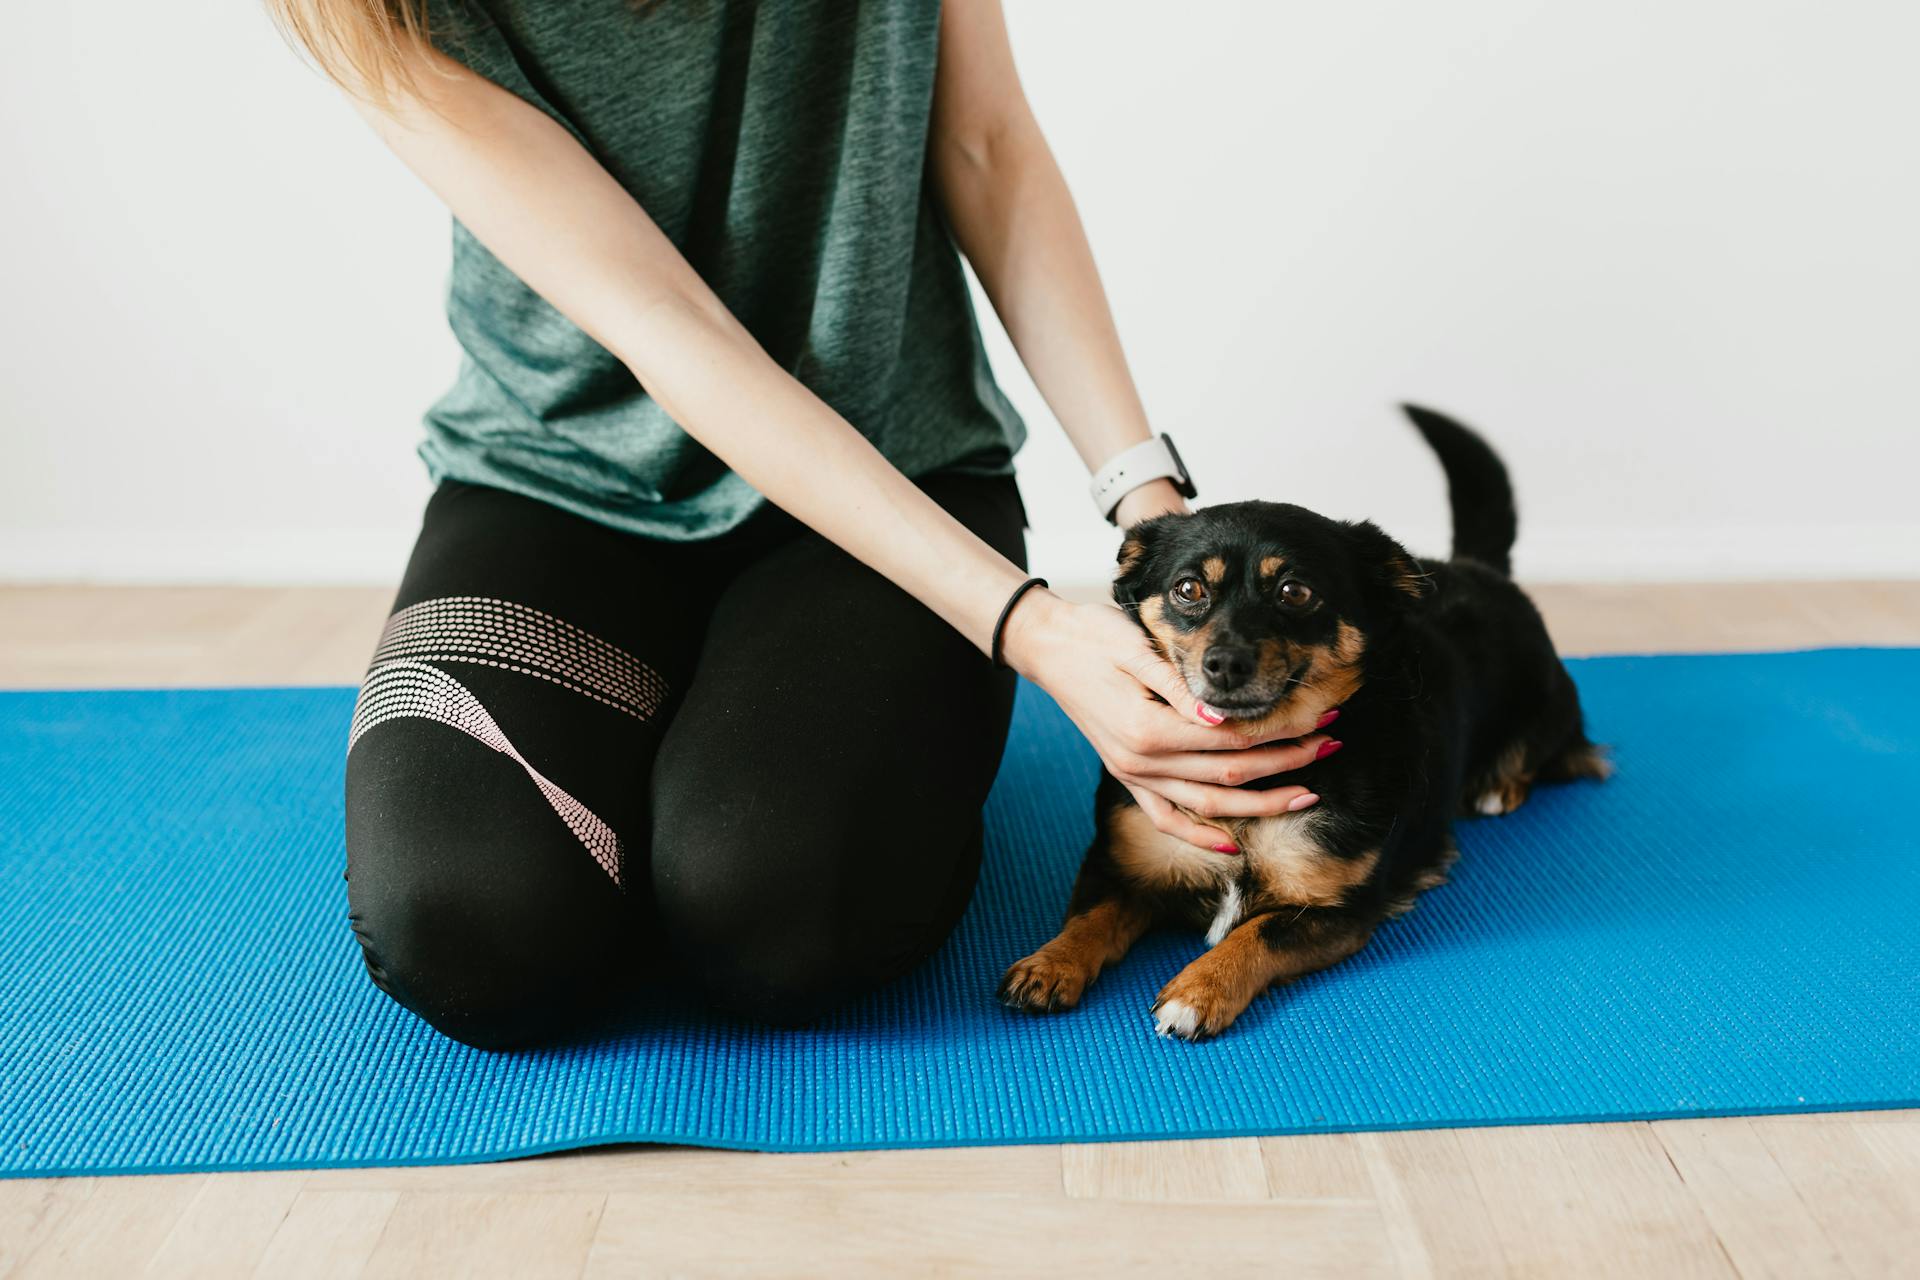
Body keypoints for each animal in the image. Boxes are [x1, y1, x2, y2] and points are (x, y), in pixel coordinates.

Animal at [998, 408, 1612, 1043]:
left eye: (1295, 591)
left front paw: (1199, 990)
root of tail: (1480, 568)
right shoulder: (1118, 866)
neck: (1249, 775)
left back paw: (1498, 786)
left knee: (1559, 752)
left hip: (1548, 707)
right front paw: (1051, 964)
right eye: (1188, 589)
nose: (1225, 663)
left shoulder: (1339, 910)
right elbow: (1090, 918)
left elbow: (1256, 931)